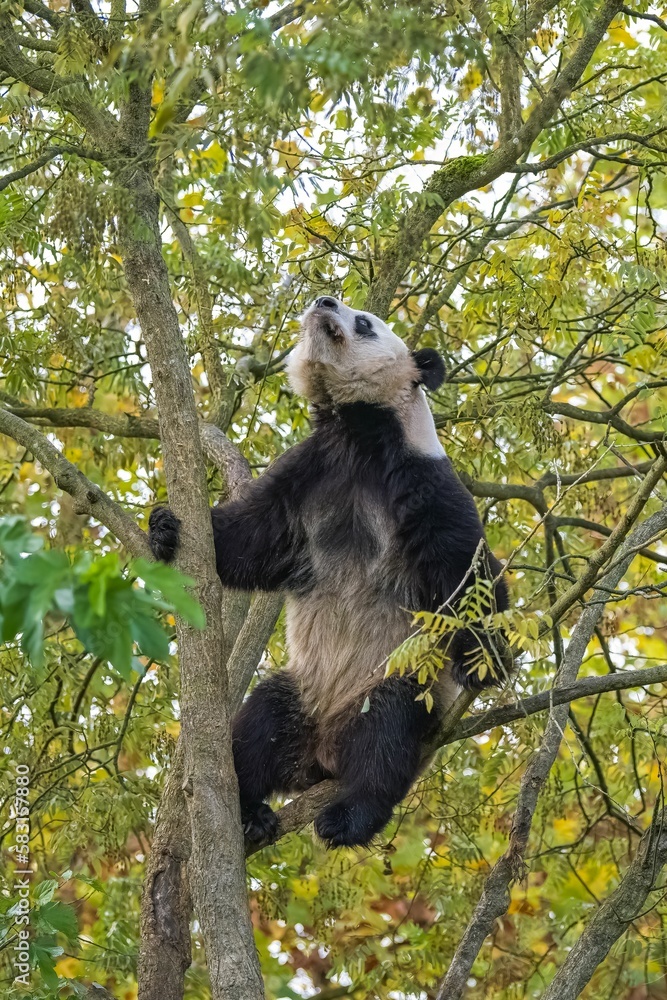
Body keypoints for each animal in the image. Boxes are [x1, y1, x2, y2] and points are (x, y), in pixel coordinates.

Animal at [149, 296, 510, 849]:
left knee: (386, 738)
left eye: (365, 322)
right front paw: (165, 529)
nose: (324, 301)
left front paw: (487, 659)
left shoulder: (422, 479)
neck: (357, 433)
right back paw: (248, 810)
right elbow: (251, 539)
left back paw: (347, 817)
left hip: (400, 678)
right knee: (258, 727)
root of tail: (321, 757)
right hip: (300, 688)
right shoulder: (309, 472)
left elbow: (468, 571)